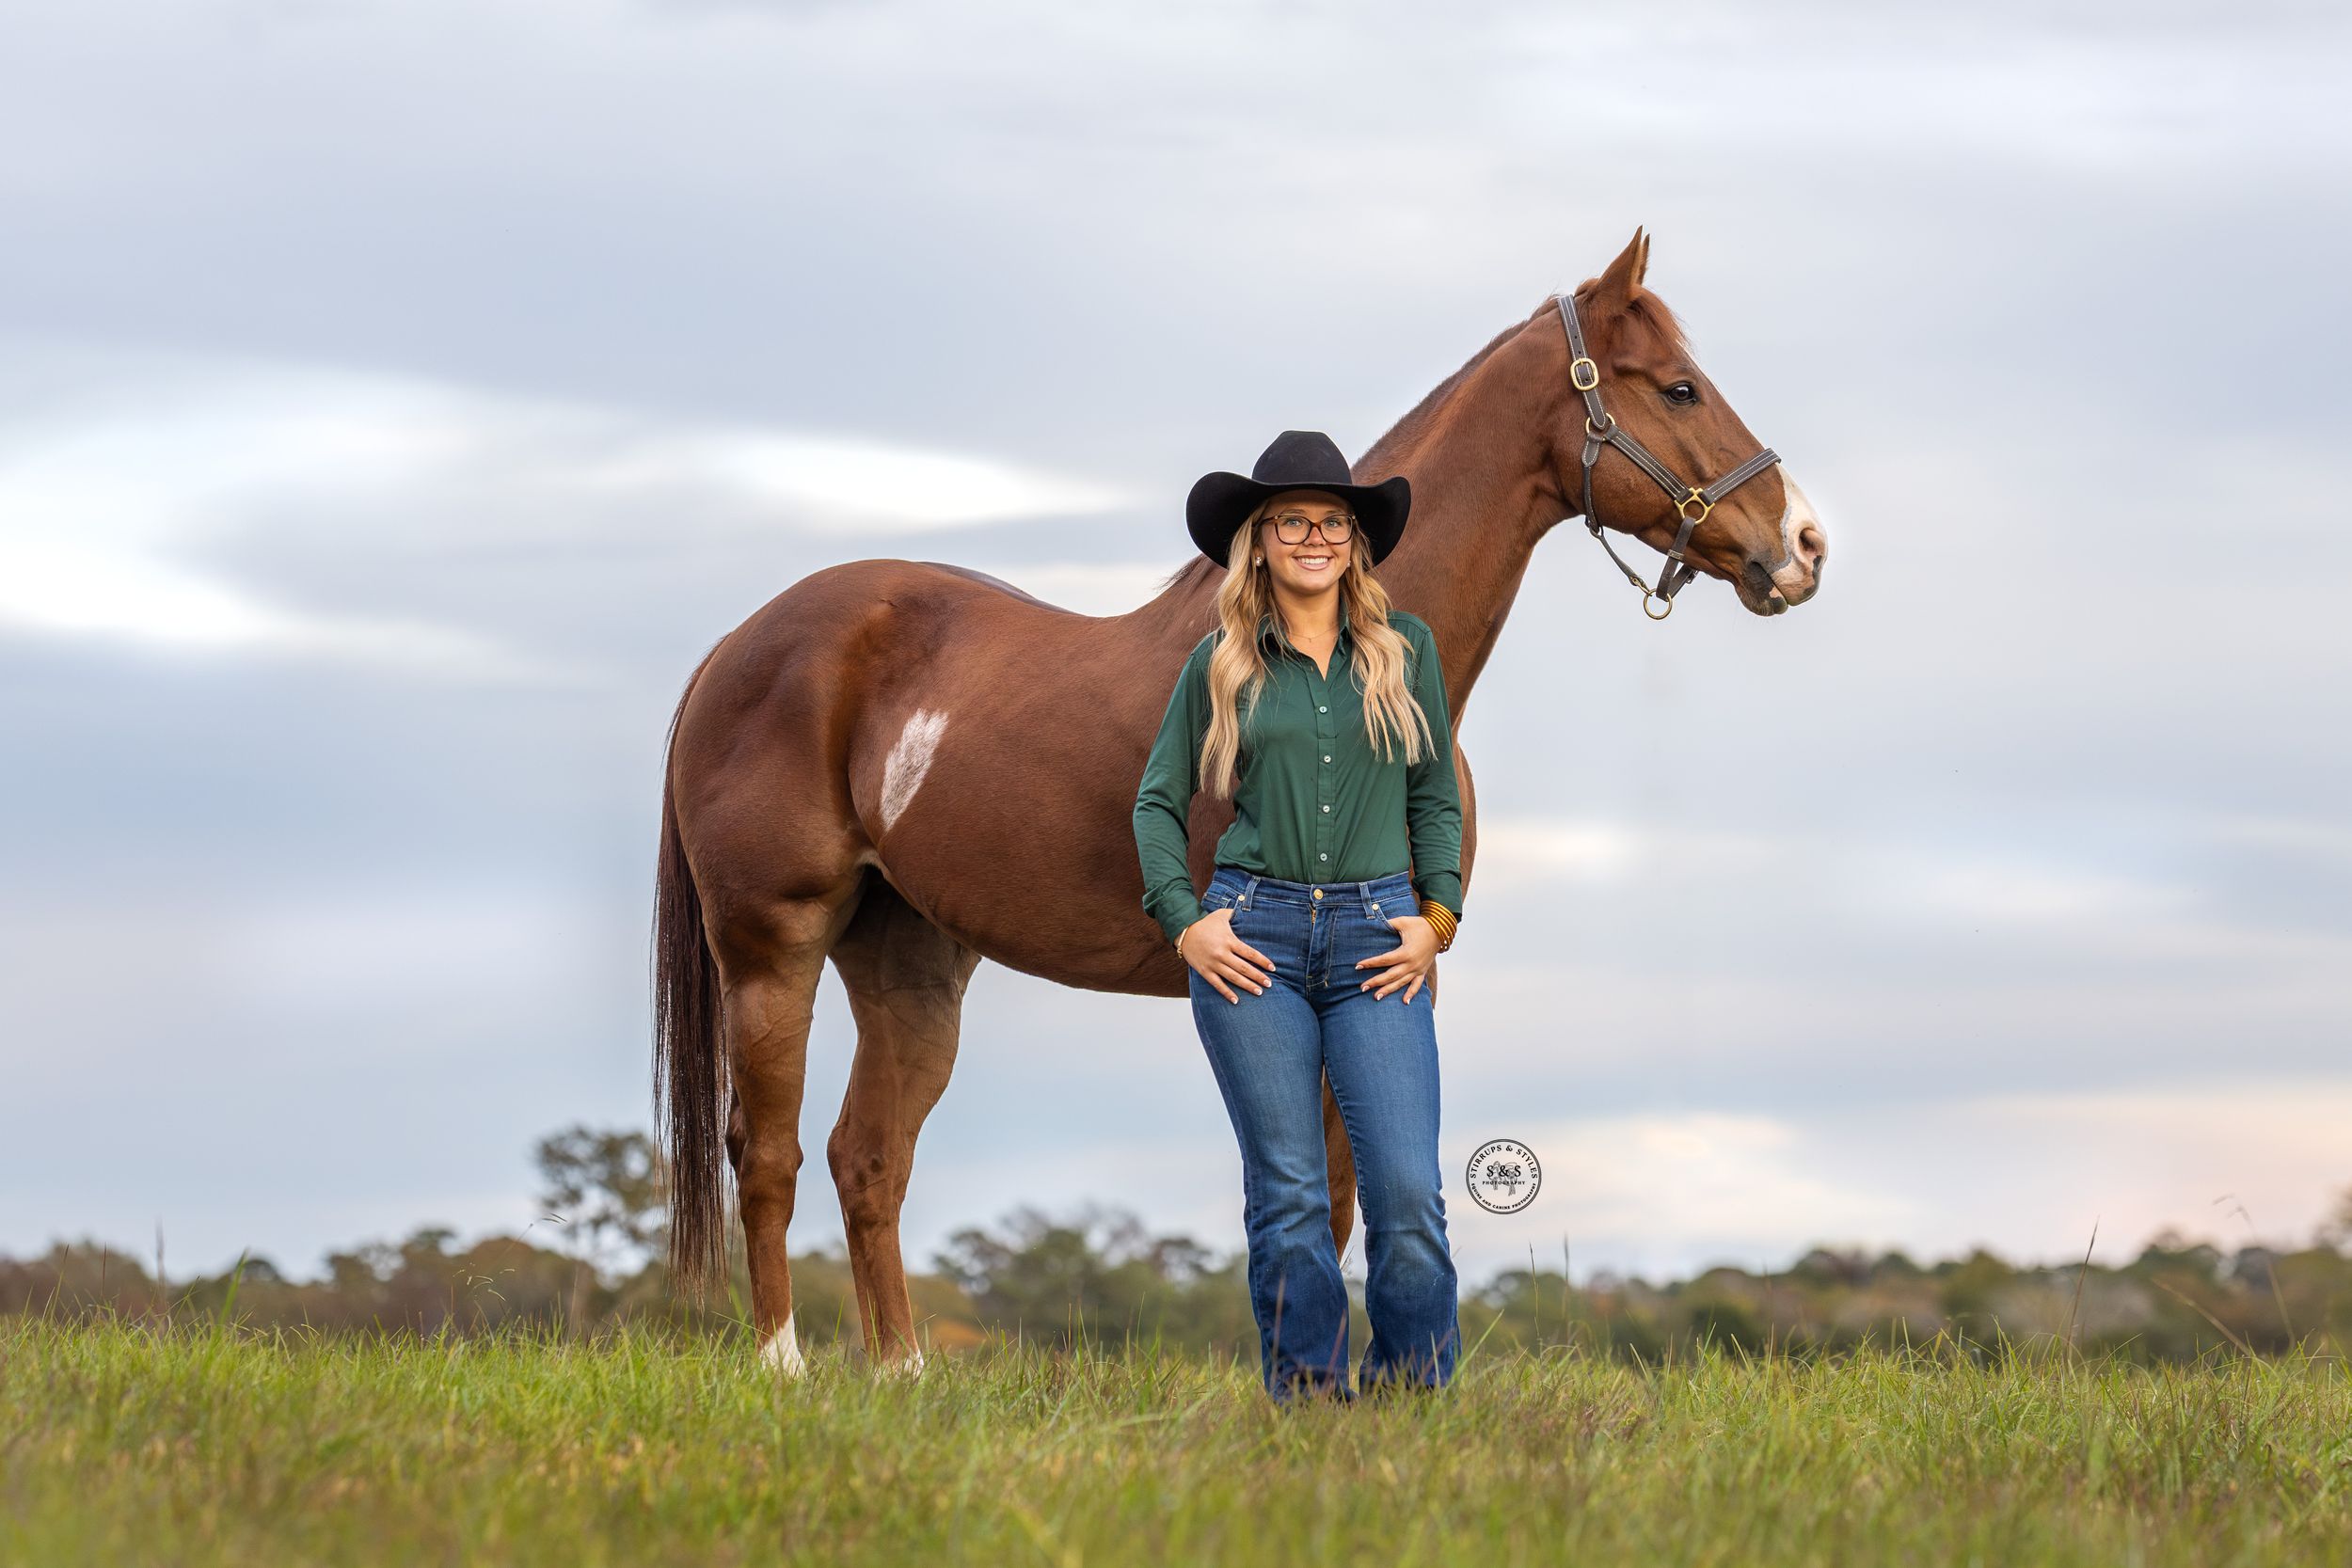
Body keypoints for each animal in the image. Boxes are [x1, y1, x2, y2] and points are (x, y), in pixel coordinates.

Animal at [652, 230, 1829, 1373]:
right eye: (1678, 388)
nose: (1804, 545)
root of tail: (737, 643)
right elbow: (1311, 1191)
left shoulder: (1391, 972)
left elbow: (1355, 1191)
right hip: (774, 945)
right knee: (770, 1152)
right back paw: (783, 1369)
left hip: (910, 963)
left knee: (869, 1158)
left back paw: (901, 1375)